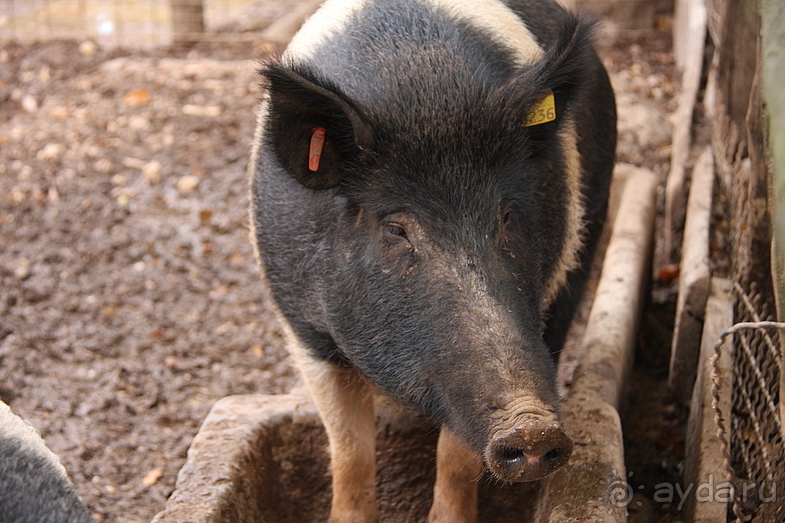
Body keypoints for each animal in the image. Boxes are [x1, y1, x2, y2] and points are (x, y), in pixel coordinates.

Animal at [248, 0, 616, 520]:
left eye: (506, 215)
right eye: (395, 228)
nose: (533, 427)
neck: (421, 95)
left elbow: (457, 457)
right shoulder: (307, 332)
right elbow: (349, 450)